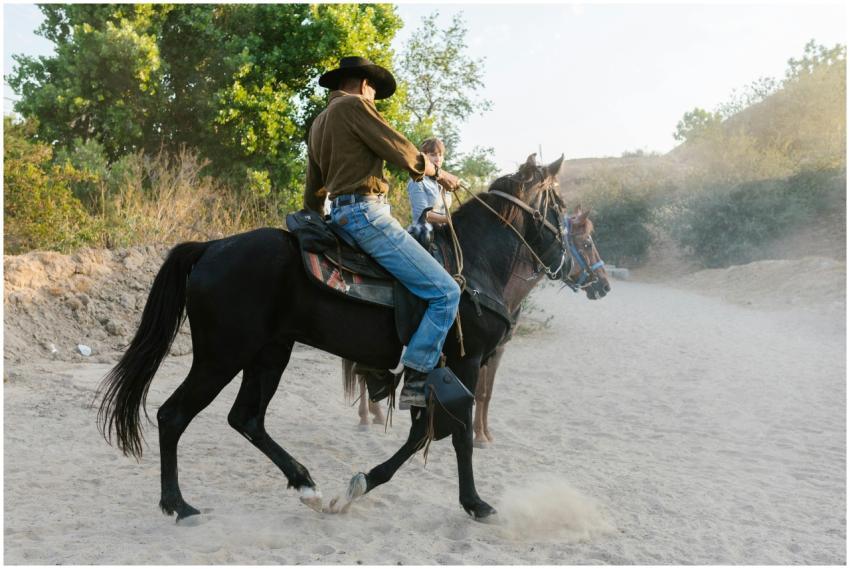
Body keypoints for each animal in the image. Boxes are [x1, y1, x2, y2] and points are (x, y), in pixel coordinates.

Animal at [96, 153, 610, 521]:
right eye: (562, 211)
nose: (576, 270)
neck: (475, 267)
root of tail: (210, 248)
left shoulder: (437, 373)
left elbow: (424, 432)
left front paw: (358, 486)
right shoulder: (463, 365)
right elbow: (457, 433)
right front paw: (475, 503)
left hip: (269, 353)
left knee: (247, 419)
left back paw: (306, 485)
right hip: (222, 356)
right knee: (173, 415)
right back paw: (178, 505)